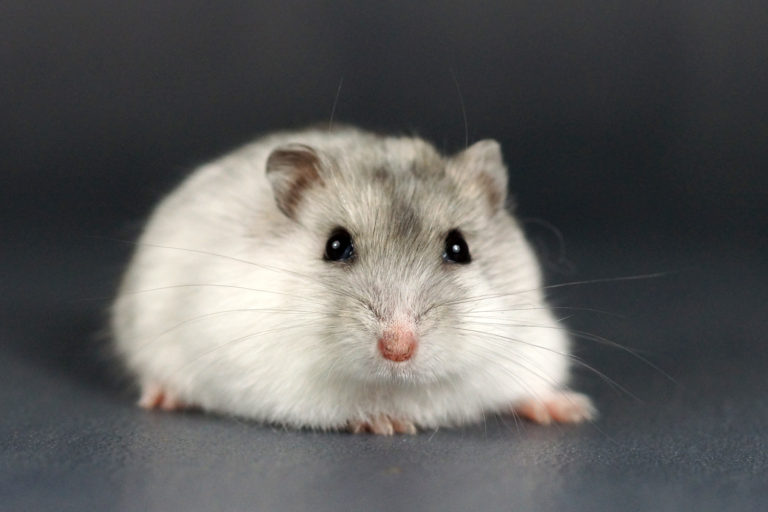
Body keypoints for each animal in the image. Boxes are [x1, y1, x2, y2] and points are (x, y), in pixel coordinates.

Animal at [111, 125, 595, 434]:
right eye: (336, 245)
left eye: (460, 248)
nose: (398, 348)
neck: (397, 382)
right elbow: (344, 403)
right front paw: (389, 422)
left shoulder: (530, 340)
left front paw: (574, 409)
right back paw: (161, 397)